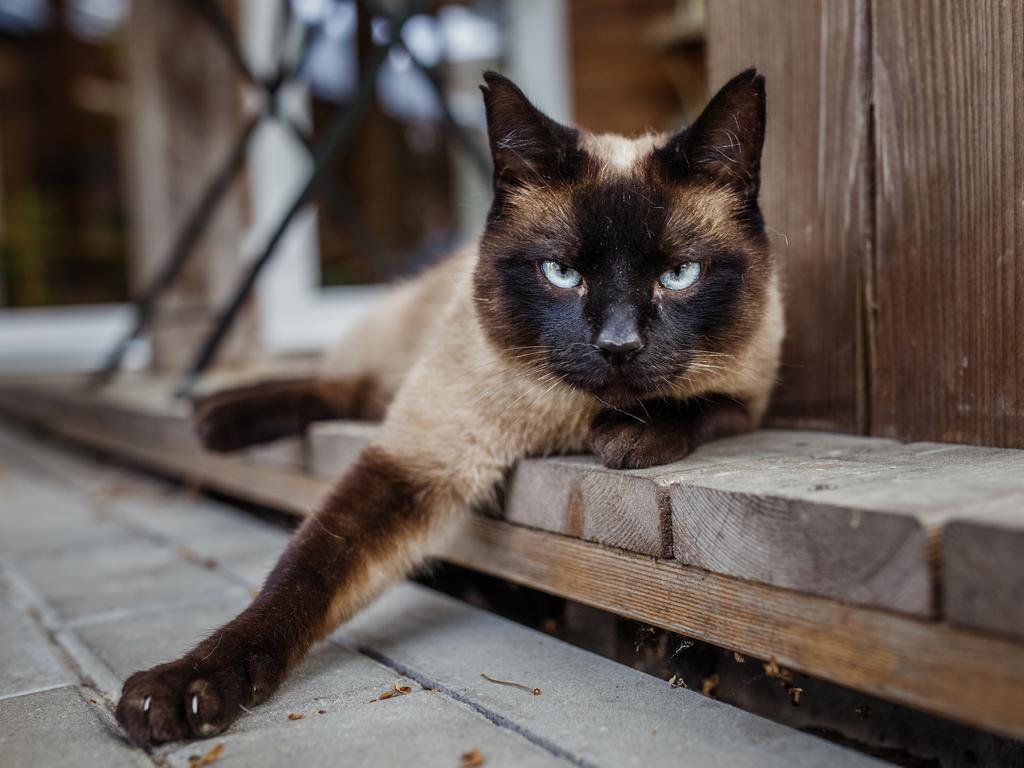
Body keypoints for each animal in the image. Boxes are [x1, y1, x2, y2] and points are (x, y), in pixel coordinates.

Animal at [116, 67, 778, 745]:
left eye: (680, 276)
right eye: (561, 273)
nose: (618, 345)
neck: (561, 425)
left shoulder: (752, 394)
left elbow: (701, 402)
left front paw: (626, 438)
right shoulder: (417, 460)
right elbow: (301, 577)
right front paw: (182, 688)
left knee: (356, 392)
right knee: (343, 387)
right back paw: (212, 419)